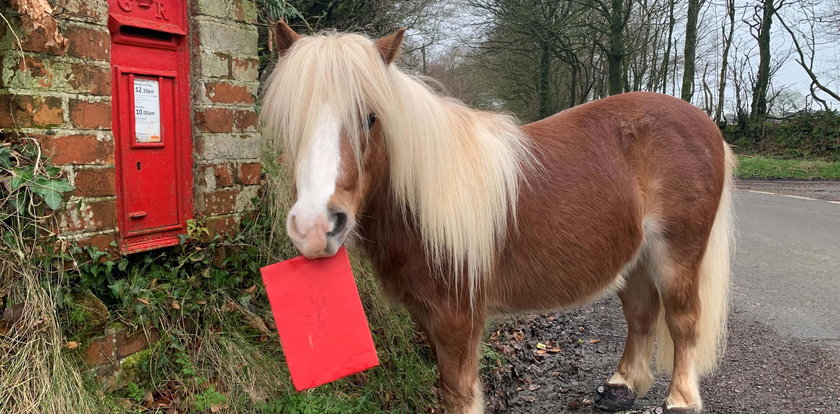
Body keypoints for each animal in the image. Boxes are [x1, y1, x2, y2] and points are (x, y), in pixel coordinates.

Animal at [262, 22, 736, 414]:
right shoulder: (427, 317)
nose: (314, 228)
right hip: (636, 256)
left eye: (371, 118)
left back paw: (680, 400)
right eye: (290, 122)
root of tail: (704, 123)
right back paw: (621, 388)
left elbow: (458, 394)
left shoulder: (458, 320)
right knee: (641, 312)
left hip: (677, 255)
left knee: (683, 320)